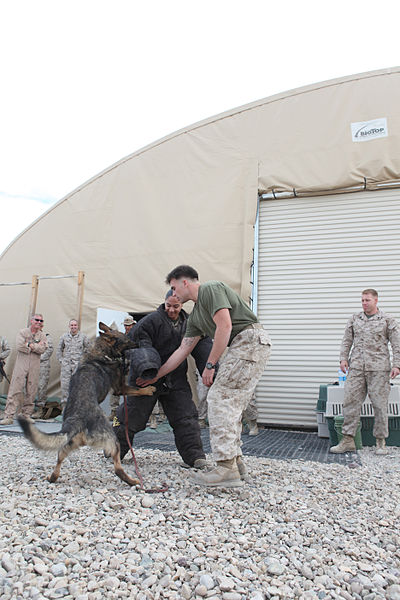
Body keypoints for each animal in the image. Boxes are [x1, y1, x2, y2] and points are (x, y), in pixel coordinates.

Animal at [19, 324, 156, 488]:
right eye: (127, 338)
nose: (138, 343)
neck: (101, 352)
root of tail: (79, 420)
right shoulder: (120, 388)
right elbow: (136, 389)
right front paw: (149, 389)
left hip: (67, 446)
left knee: (59, 460)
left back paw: (52, 477)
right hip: (113, 441)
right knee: (117, 468)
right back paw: (133, 481)